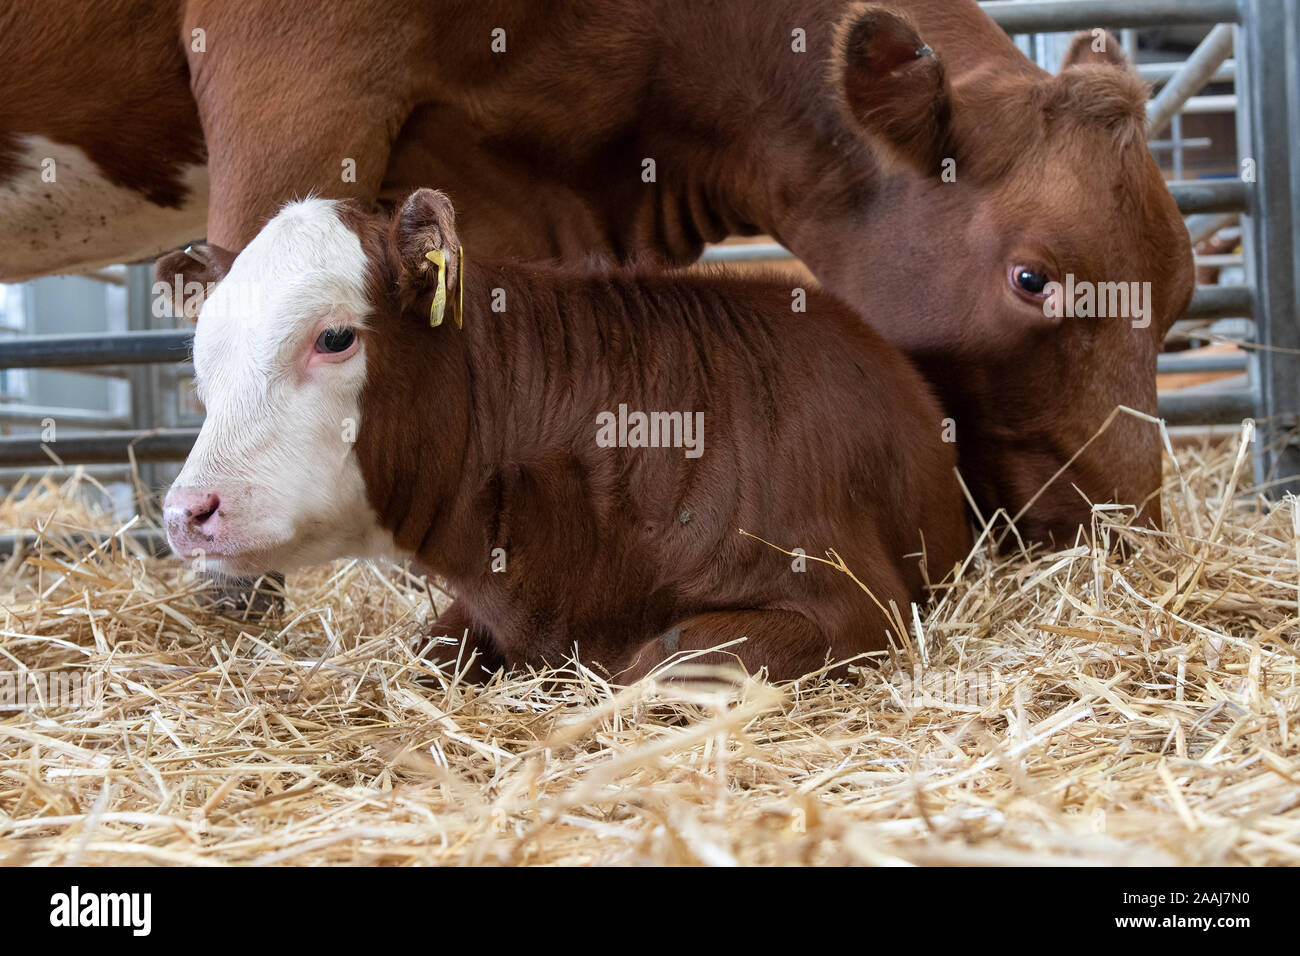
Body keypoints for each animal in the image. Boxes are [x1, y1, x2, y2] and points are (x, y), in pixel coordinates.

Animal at [156, 189, 972, 681]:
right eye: (203, 356)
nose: (186, 511)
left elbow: (664, 660)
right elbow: (429, 648)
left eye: (334, 337)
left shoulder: (855, 604)